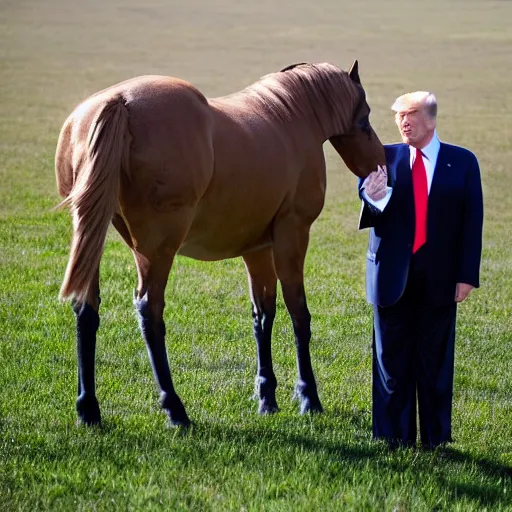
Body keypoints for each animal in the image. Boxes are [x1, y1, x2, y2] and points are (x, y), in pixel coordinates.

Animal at [55, 60, 384, 428]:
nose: (380, 161)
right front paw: (308, 397)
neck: (291, 118)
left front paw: (267, 398)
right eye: (364, 119)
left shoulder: (258, 249)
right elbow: (299, 313)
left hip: (91, 238)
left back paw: (88, 408)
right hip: (157, 249)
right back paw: (175, 409)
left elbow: (263, 316)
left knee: (86, 308)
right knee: (149, 311)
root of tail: (118, 102)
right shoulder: (293, 235)